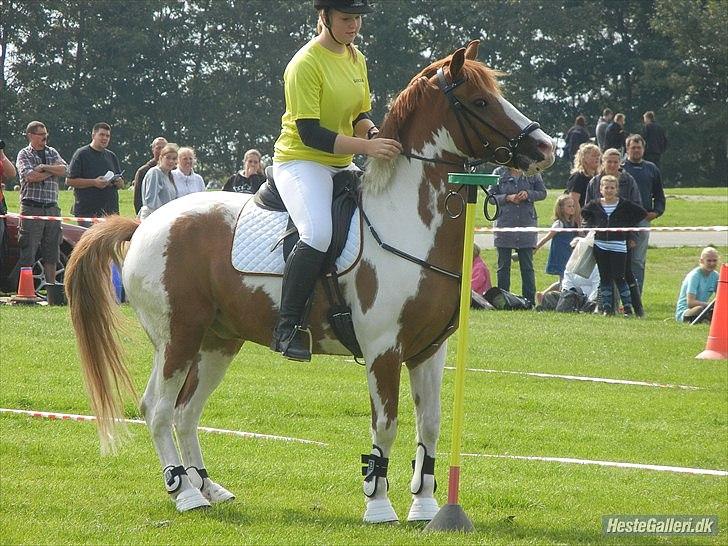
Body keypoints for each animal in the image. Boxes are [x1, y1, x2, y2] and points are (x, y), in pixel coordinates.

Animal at [67, 40, 552, 520]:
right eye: (480, 101)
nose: (545, 148)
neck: (405, 221)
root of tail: (144, 224)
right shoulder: (383, 350)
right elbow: (386, 425)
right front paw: (379, 505)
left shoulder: (429, 350)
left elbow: (429, 425)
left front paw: (426, 506)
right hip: (178, 338)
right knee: (158, 409)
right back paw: (184, 493)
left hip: (217, 341)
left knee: (185, 412)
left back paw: (208, 487)